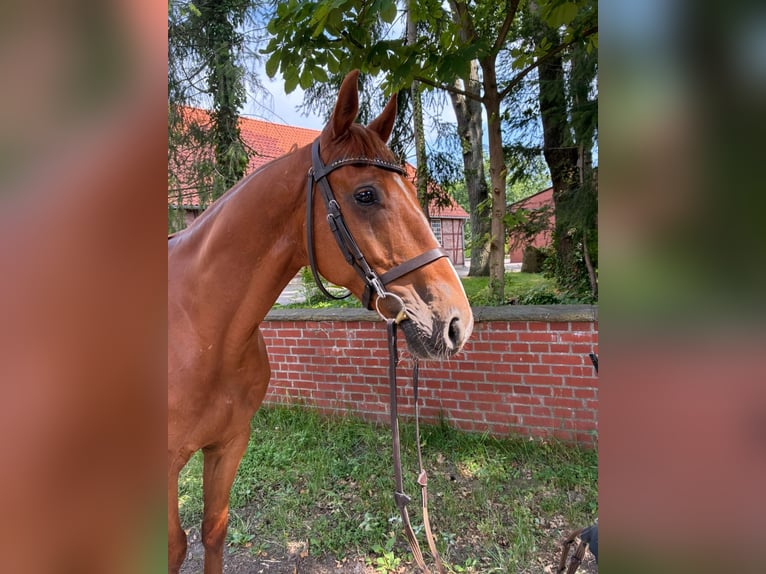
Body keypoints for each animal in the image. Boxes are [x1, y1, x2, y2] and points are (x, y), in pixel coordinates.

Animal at [168, 70, 474, 574]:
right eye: (365, 194)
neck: (203, 330)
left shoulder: (228, 444)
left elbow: (213, 528)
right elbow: (173, 545)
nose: (457, 322)